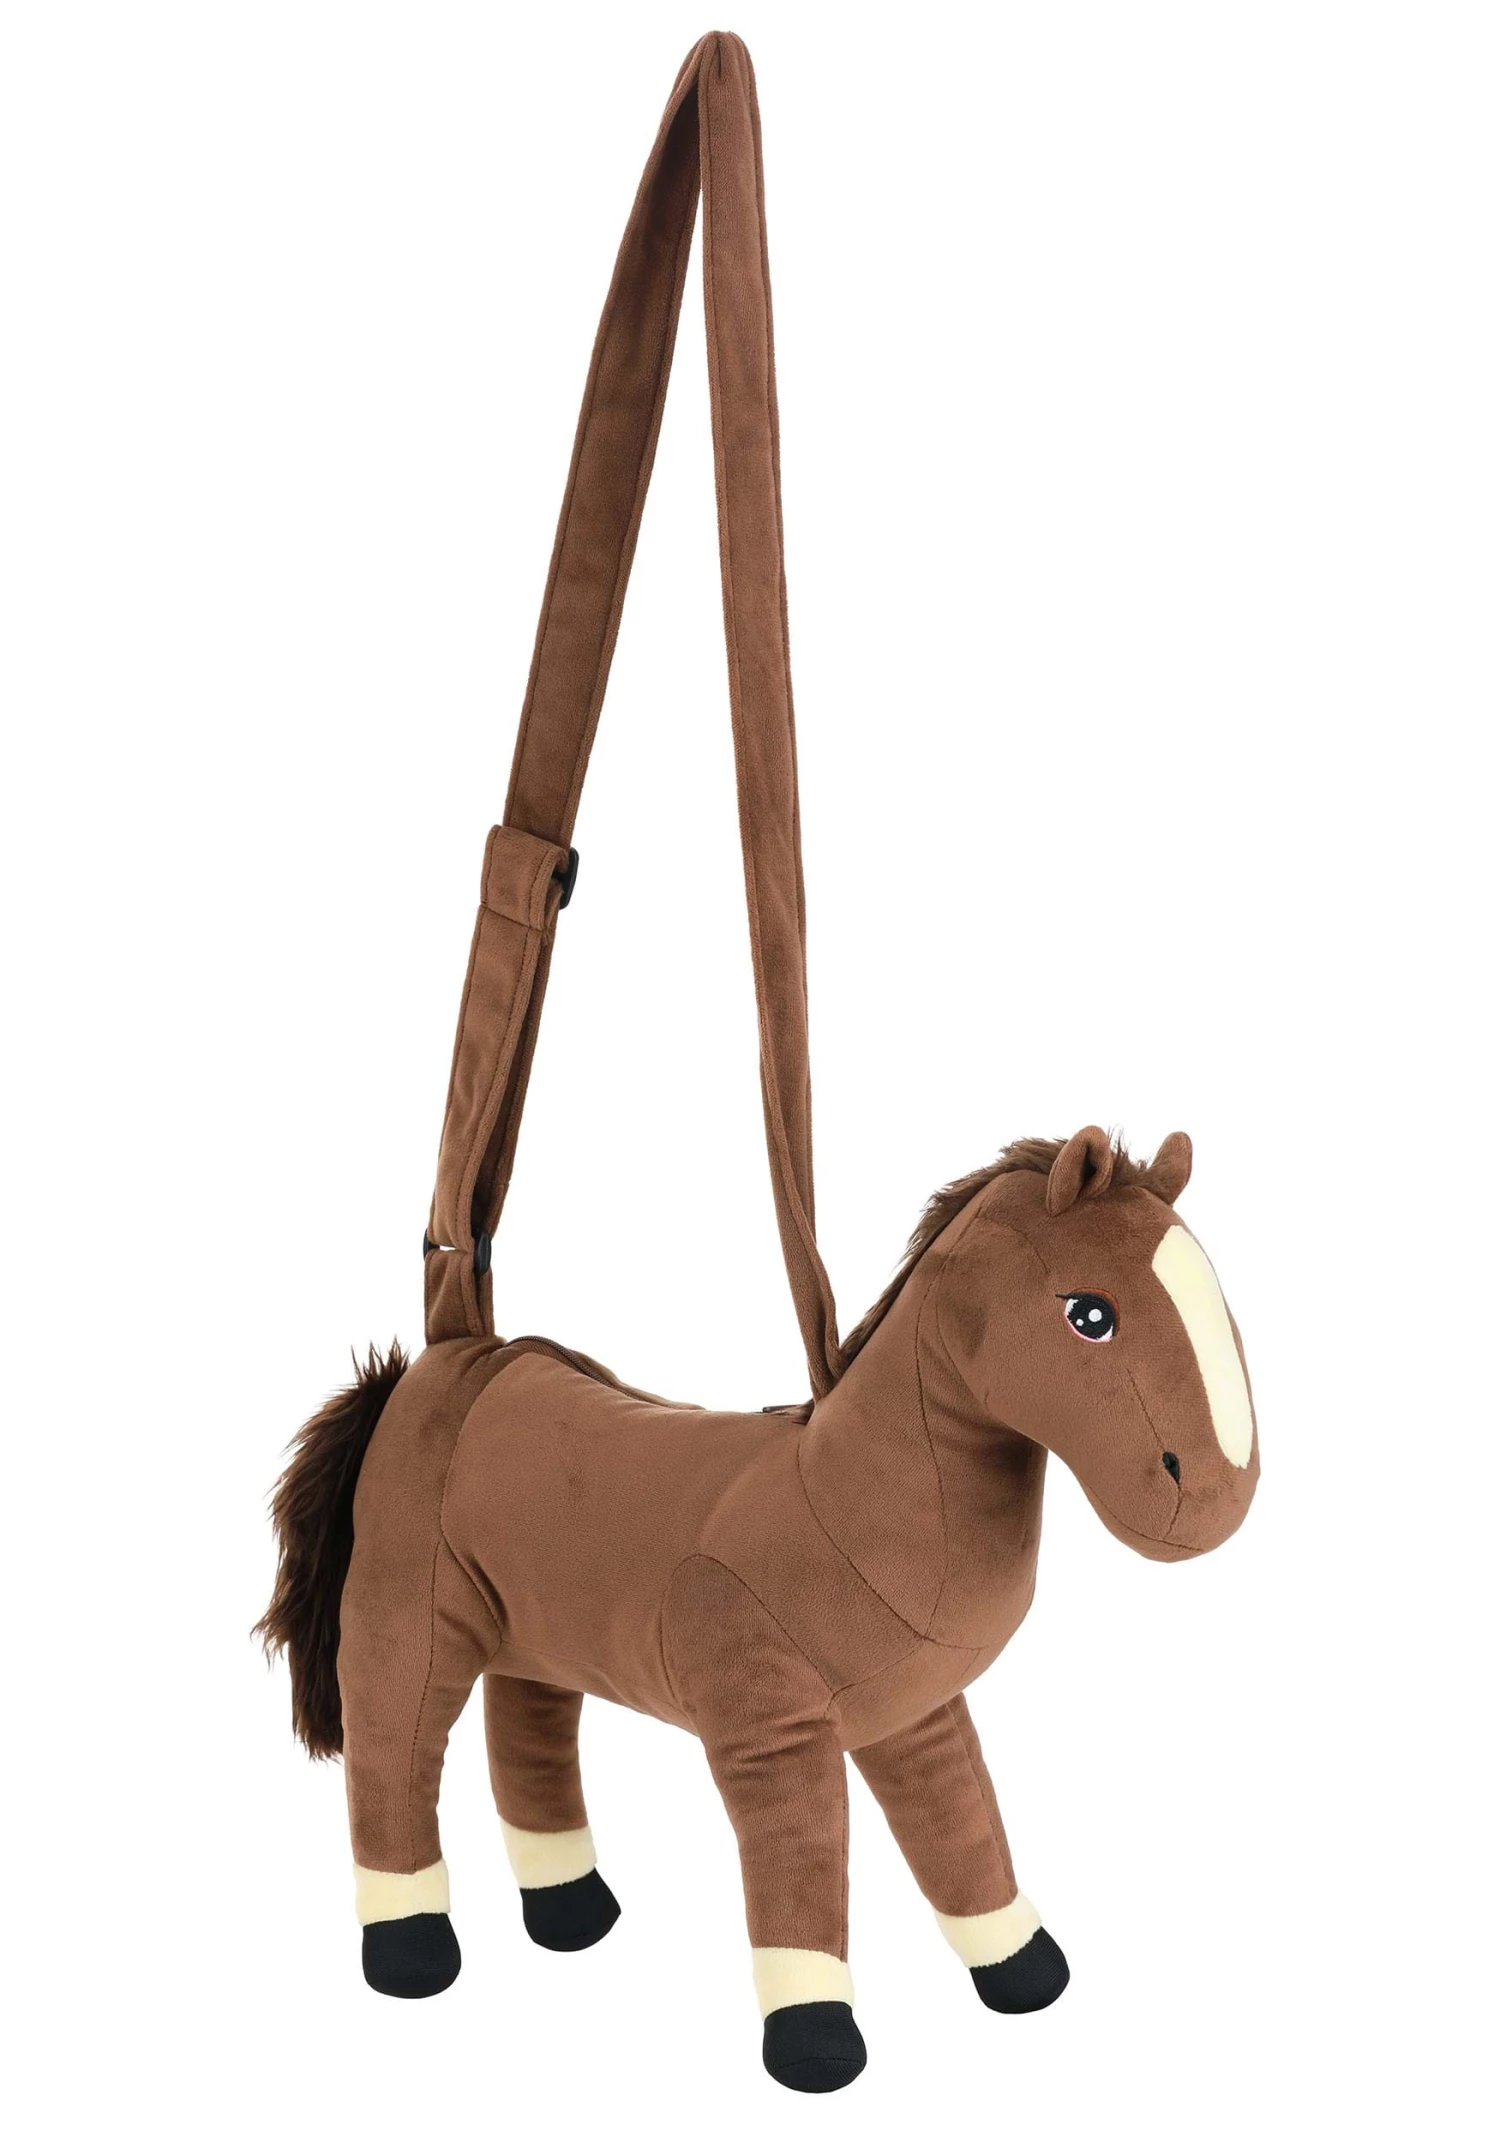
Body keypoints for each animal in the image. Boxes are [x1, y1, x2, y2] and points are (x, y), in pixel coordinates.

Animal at [259, 1122, 1258, 2092]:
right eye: (1090, 1313)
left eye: (1215, 1288)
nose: (1218, 1495)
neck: (852, 1505)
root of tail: (457, 1354)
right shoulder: (767, 1729)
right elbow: (802, 1867)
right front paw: (816, 2043)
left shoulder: (916, 1715)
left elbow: (963, 1833)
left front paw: (1024, 1970)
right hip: (409, 1608)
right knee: (391, 1745)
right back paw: (411, 1948)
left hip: (541, 1630)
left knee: (530, 1735)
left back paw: (573, 1911)